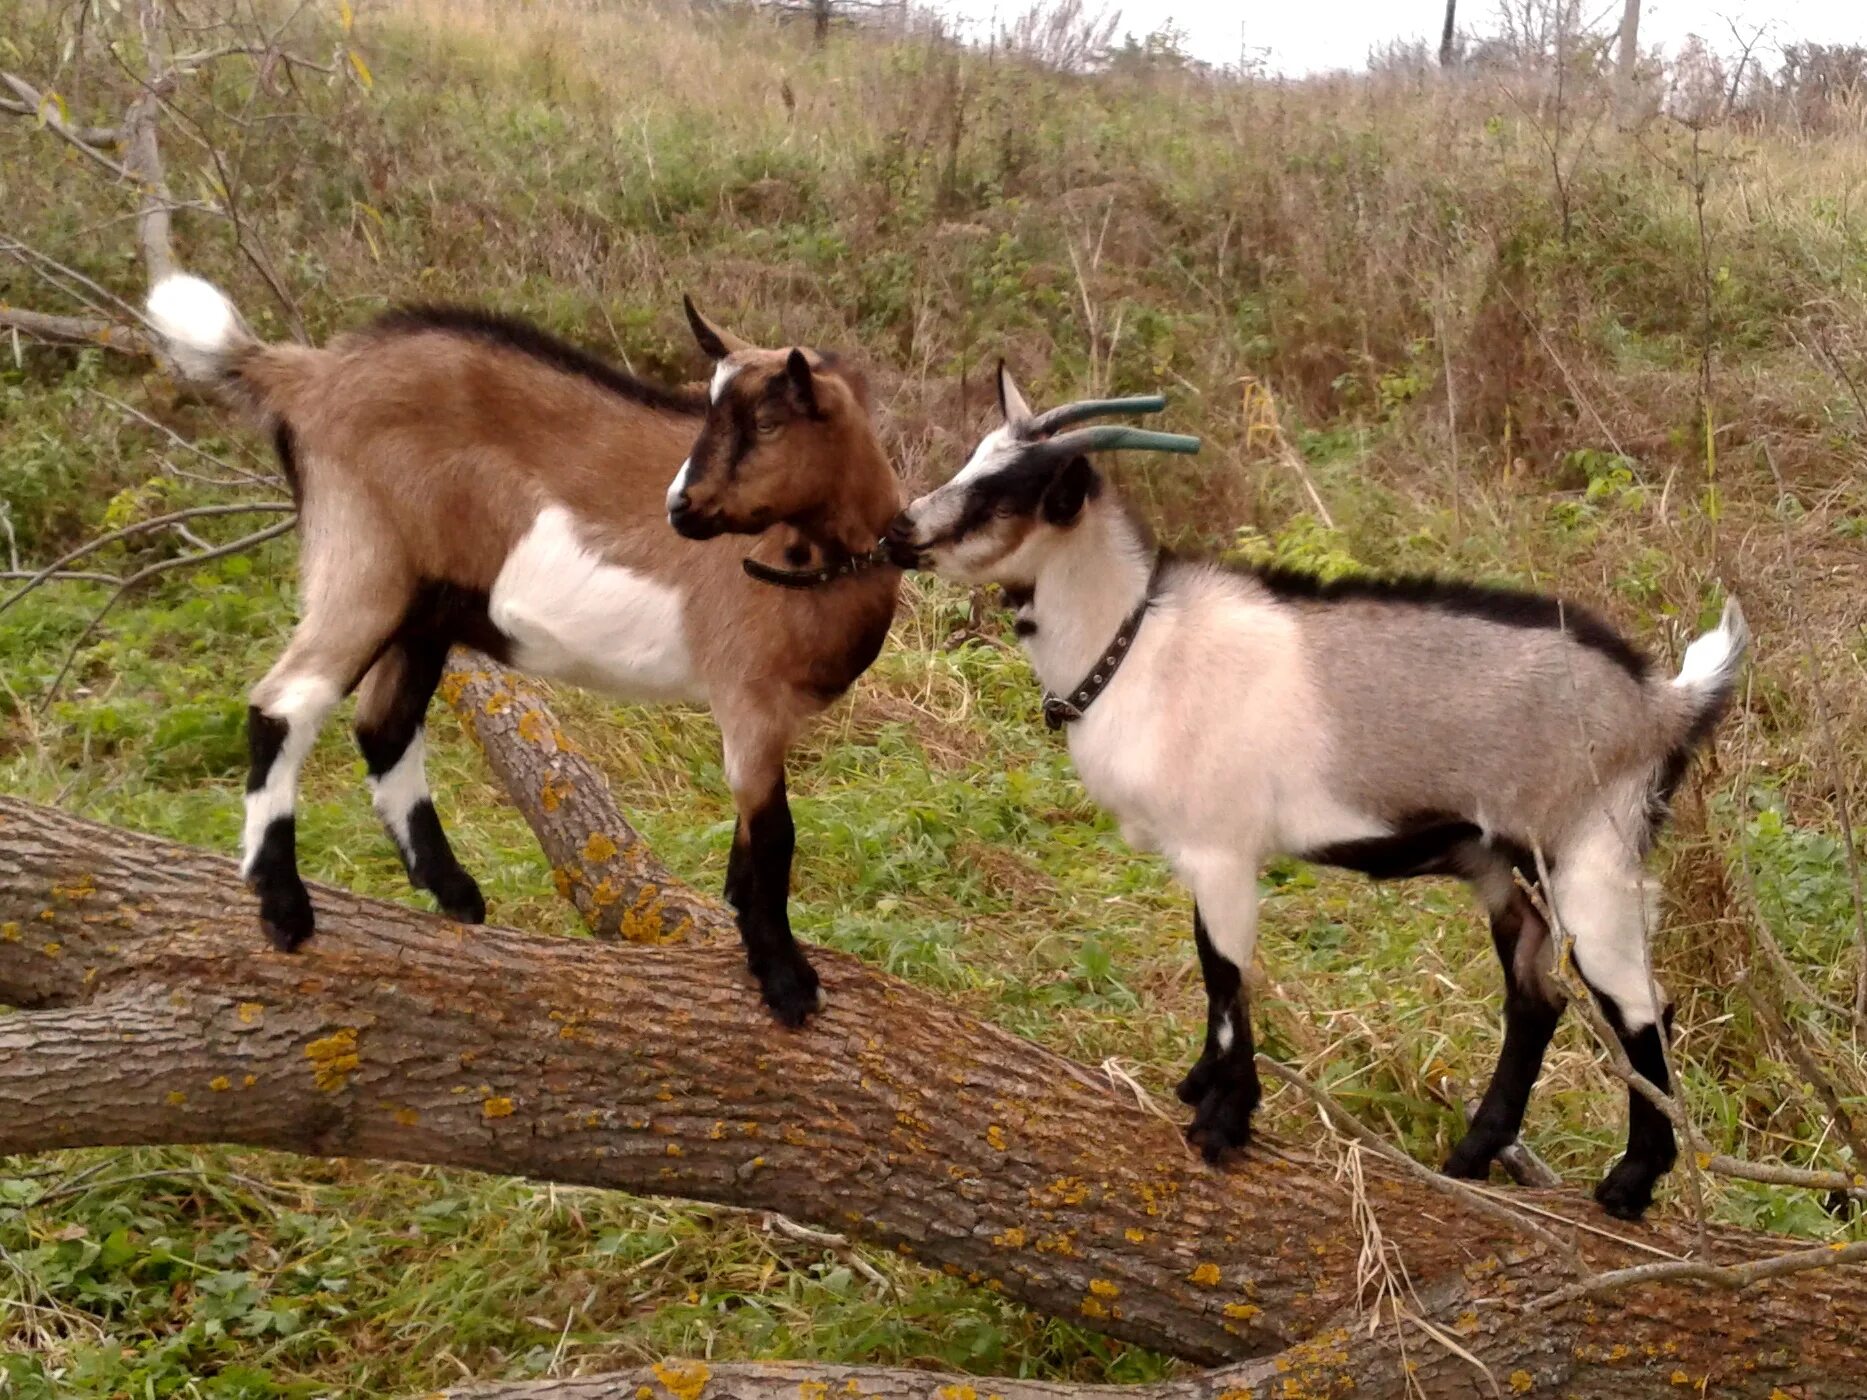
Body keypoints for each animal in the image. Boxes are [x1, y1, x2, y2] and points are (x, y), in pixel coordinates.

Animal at [149, 274, 899, 1022]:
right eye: (711, 416)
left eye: (766, 424)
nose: (679, 508)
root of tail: (308, 372)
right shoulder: (748, 696)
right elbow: (774, 835)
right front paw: (786, 981)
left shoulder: (769, 717)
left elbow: (749, 841)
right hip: (364, 560)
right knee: (285, 702)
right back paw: (283, 904)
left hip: (427, 605)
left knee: (384, 725)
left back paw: (452, 892)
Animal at [888, 369, 1747, 1217]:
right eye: (973, 458)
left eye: (1003, 495)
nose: (897, 531)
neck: (1135, 642)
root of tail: (1665, 703)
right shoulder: (1202, 856)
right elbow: (1212, 969)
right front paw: (1200, 1090)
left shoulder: (1221, 848)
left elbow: (1225, 976)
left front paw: (1222, 1123)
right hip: (1506, 872)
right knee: (1536, 1000)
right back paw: (1471, 1156)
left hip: (1590, 858)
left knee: (1640, 1006)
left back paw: (1628, 1185)